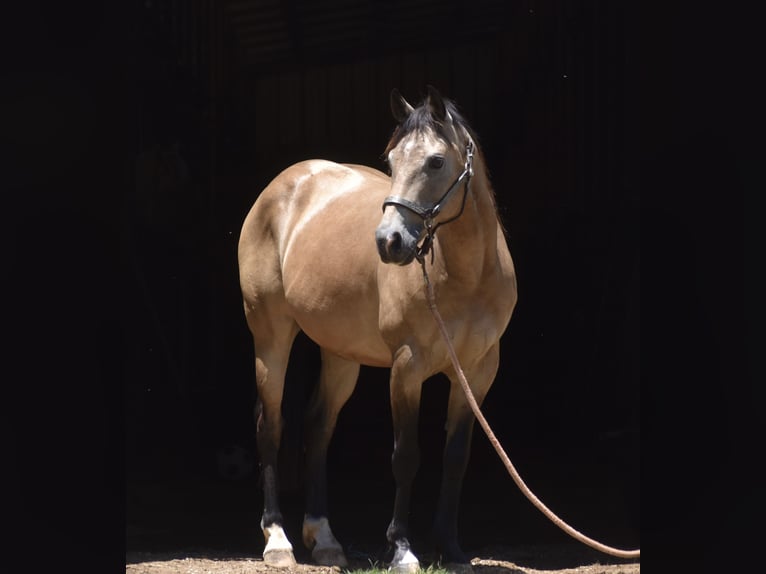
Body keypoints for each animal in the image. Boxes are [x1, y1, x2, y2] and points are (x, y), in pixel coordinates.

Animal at [237, 85, 517, 572]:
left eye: (435, 162)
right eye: (391, 161)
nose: (389, 242)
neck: (466, 276)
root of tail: (284, 184)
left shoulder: (478, 372)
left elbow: (456, 457)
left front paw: (451, 548)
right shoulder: (406, 368)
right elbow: (406, 456)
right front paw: (402, 548)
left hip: (340, 353)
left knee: (318, 426)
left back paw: (325, 538)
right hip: (271, 337)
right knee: (269, 425)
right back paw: (278, 540)